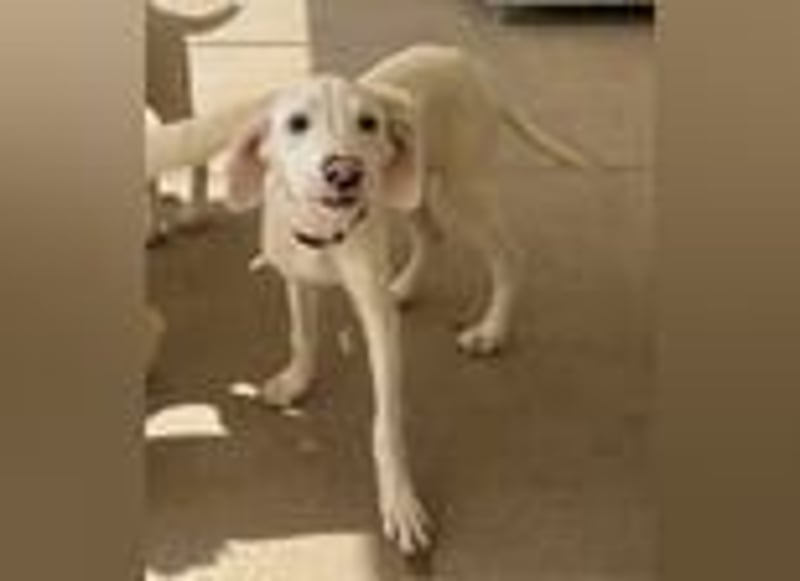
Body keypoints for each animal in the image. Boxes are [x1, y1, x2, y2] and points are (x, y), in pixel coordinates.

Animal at [146, 44, 588, 555]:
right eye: (297, 123)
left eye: (369, 123)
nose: (345, 172)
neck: (324, 233)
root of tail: (462, 60)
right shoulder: (297, 279)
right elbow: (302, 336)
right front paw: (296, 382)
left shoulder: (377, 322)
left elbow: (386, 425)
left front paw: (399, 502)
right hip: (409, 191)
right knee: (430, 234)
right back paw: (406, 288)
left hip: (465, 188)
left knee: (508, 257)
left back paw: (491, 330)